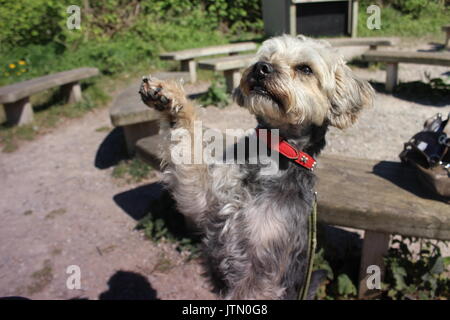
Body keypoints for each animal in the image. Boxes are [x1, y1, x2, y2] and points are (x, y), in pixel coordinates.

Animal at [139, 33, 374, 298]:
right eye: (266, 57)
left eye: (305, 69)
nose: (261, 68)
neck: (267, 158)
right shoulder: (203, 202)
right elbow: (188, 144)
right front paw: (169, 99)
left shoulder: (261, 272)